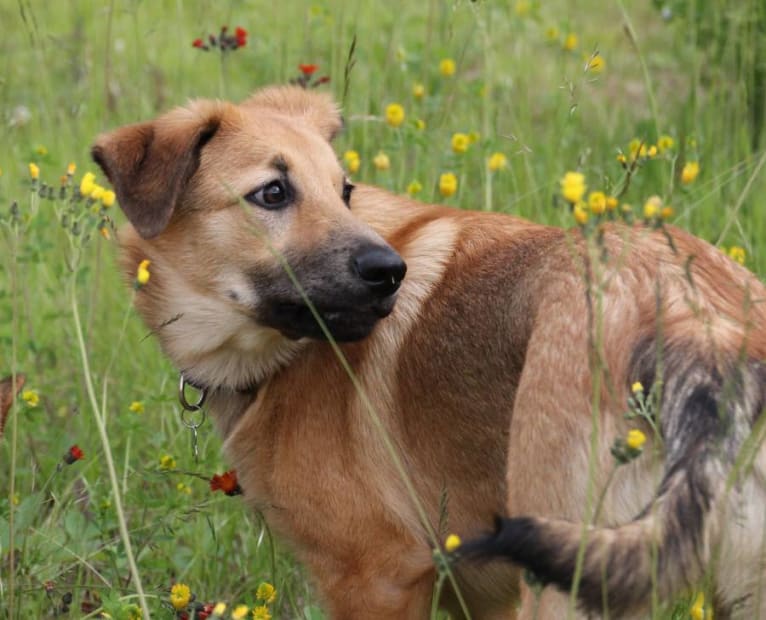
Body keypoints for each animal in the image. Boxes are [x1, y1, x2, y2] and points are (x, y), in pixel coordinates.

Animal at [94, 85, 766, 616]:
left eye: (343, 190)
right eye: (273, 193)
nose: (390, 272)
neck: (278, 356)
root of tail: (703, 323)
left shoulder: (376, 578)